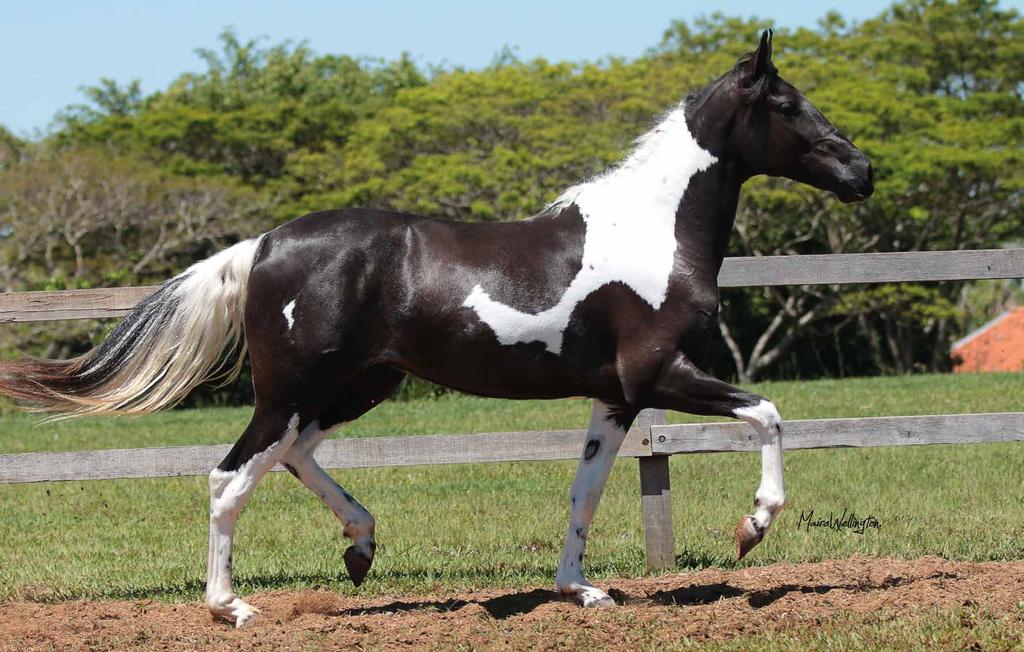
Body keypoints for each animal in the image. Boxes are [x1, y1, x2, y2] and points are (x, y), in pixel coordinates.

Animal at [0, 30, 872, 626]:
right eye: (787, 106)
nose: (863, 172)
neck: (654, 231)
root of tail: (264, 245)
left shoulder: (616, 397)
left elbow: (585, 489)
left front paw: (581, 590)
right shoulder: (659, 375)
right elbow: (769, 414)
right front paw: (751, 528)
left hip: (362, 384)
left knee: (295, 455)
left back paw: (360, 548)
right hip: (293, 387)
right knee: (232, 475)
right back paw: (233, 607)